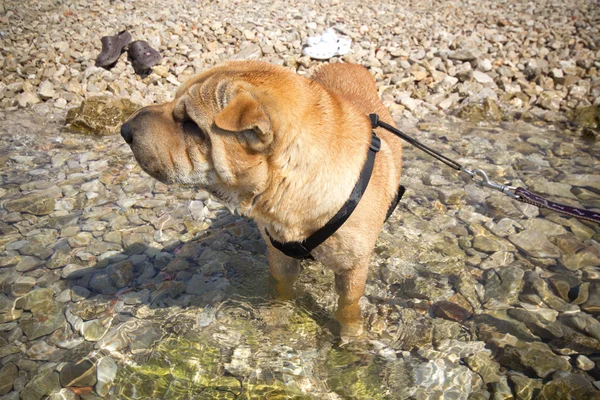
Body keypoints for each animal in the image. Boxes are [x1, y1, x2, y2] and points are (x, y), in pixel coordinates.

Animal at [120, 60, 404, 338]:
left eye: (191, 124)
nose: (125, 130)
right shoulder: (279, 255)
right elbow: (282, 287)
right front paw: (278, 315)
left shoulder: (352, 269)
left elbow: (348, 305)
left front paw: (352, 337)